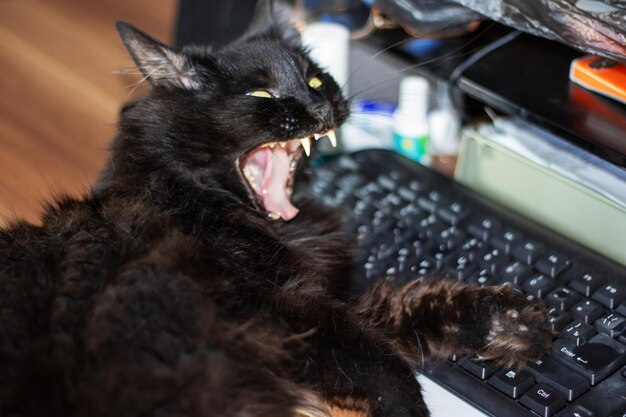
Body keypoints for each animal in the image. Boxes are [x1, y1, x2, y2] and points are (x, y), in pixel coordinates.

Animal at [0, 1, 544, 414]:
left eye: (316, 81)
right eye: (261, 92)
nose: (320, 107)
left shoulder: (322, 296)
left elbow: (408, 305)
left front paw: (508, 322)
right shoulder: (285, 311)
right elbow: (386, 362)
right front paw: (411, 407)